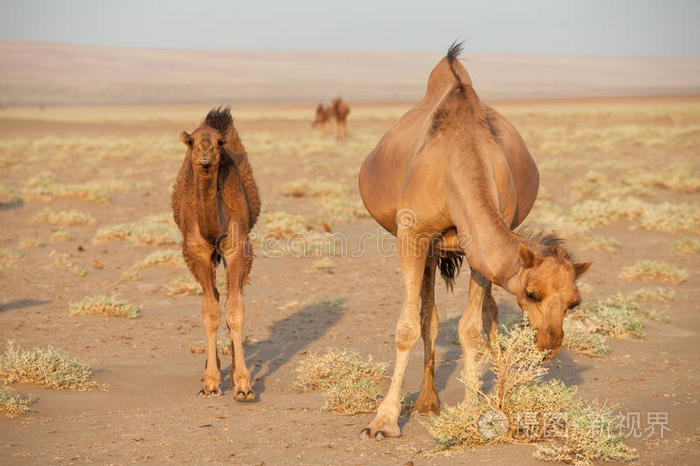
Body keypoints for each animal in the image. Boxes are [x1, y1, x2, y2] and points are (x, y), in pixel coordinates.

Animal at [172, 107, 260, 398]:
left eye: (220, 143)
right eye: (191, 141)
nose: (205, 154)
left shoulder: (237, 248)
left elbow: (235, 310)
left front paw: (242, 384)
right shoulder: (196, 252)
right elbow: (210, 311)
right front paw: (210, 382)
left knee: (232, 295)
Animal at [358, 41, 588, 438]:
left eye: (574, 302)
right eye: (532, 294)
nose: (549, 344)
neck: (456, 159)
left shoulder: (479, 243)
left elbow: (470, 327)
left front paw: (472, 410)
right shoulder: (412, 235)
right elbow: (406, 327)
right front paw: (384, 421)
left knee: (484, 314)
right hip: (430, 249)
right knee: (429, 315)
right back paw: (427, 400)